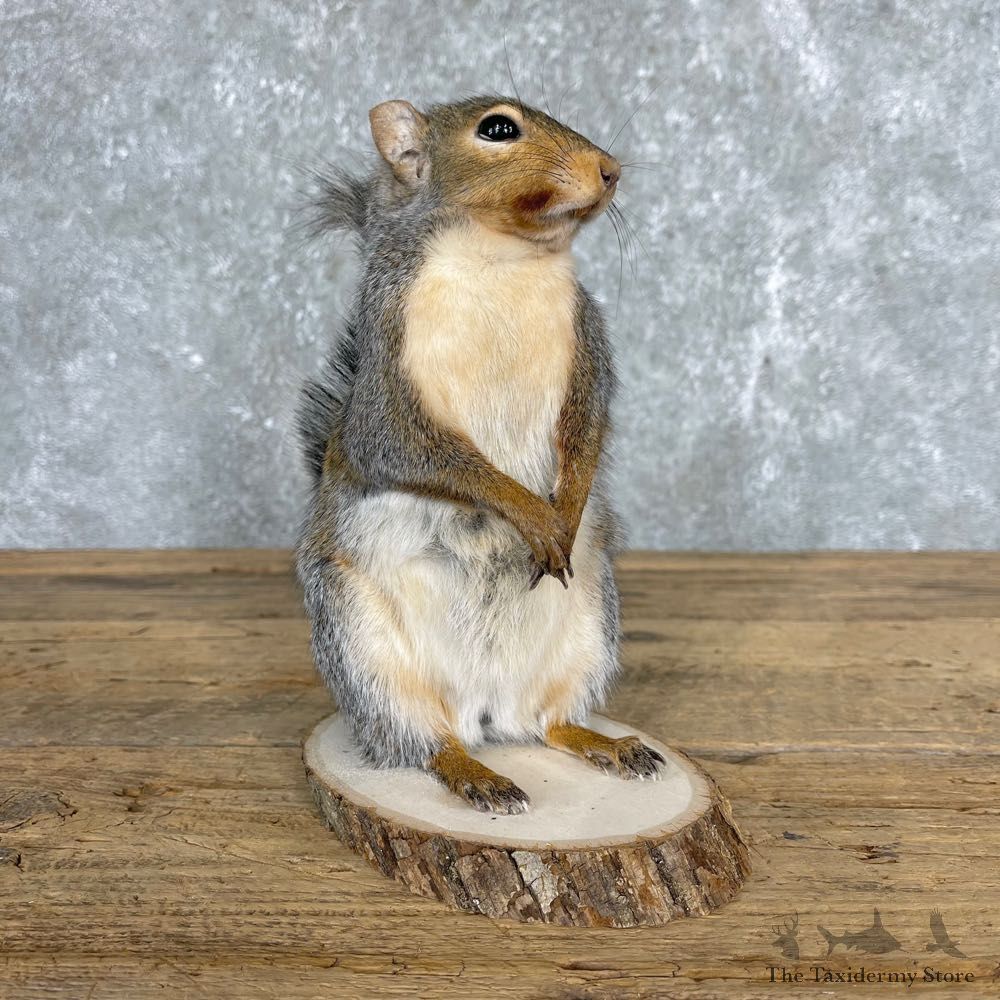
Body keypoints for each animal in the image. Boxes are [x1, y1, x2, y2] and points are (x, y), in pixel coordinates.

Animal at [295, 94, 664, 814]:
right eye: (497, 128)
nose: (609, 170)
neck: (503, 263)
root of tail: (486, 711)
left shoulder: (588, 342)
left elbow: (589, 432)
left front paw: (567, 510)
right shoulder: (387, 391)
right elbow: (417, 453)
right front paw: (531, 514)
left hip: (587, 630)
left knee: (548, 724)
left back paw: (604, 743)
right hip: (364, 650)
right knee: (423, 741)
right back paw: (475, 774)